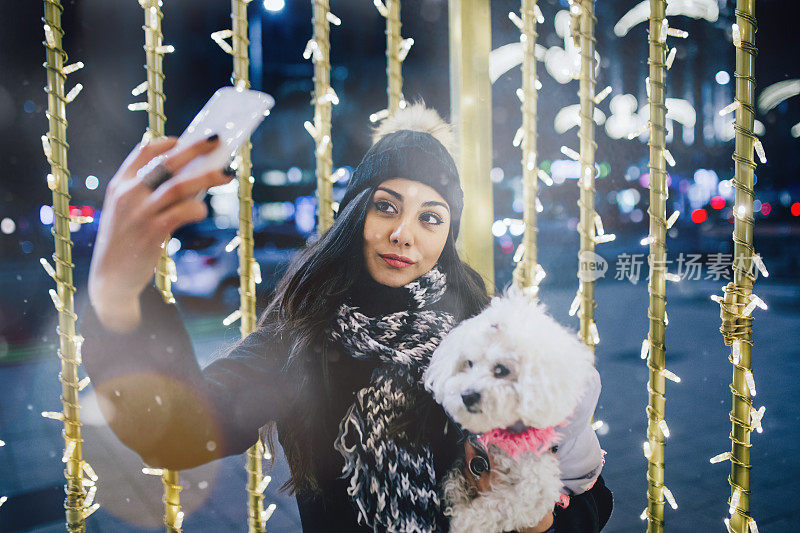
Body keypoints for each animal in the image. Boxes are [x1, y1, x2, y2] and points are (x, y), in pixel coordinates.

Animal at [428, 290, 596, 532]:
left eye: (501, 369)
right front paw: (455, 497)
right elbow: (454, 480)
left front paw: (463, 521)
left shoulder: (535, 488)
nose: (467, 395)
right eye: (468, 363)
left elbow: (496, 507)